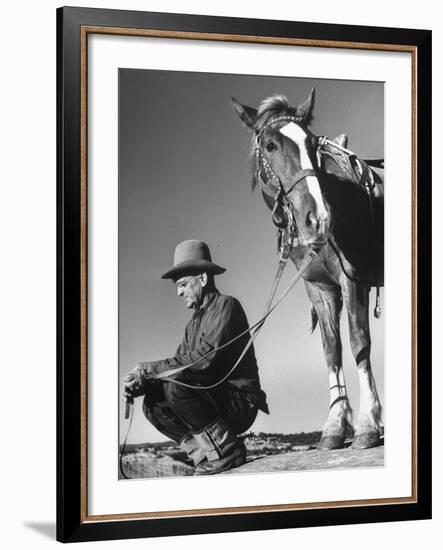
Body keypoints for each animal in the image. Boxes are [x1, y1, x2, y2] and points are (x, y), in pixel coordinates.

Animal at [232, 90, 386, 450]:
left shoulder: (353, 279)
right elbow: (332, 350)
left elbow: (359, 342)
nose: (318, 219)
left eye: (313, 143)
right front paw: (335, 425)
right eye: (270, 145)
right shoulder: (319, 289)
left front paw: (367, 424)